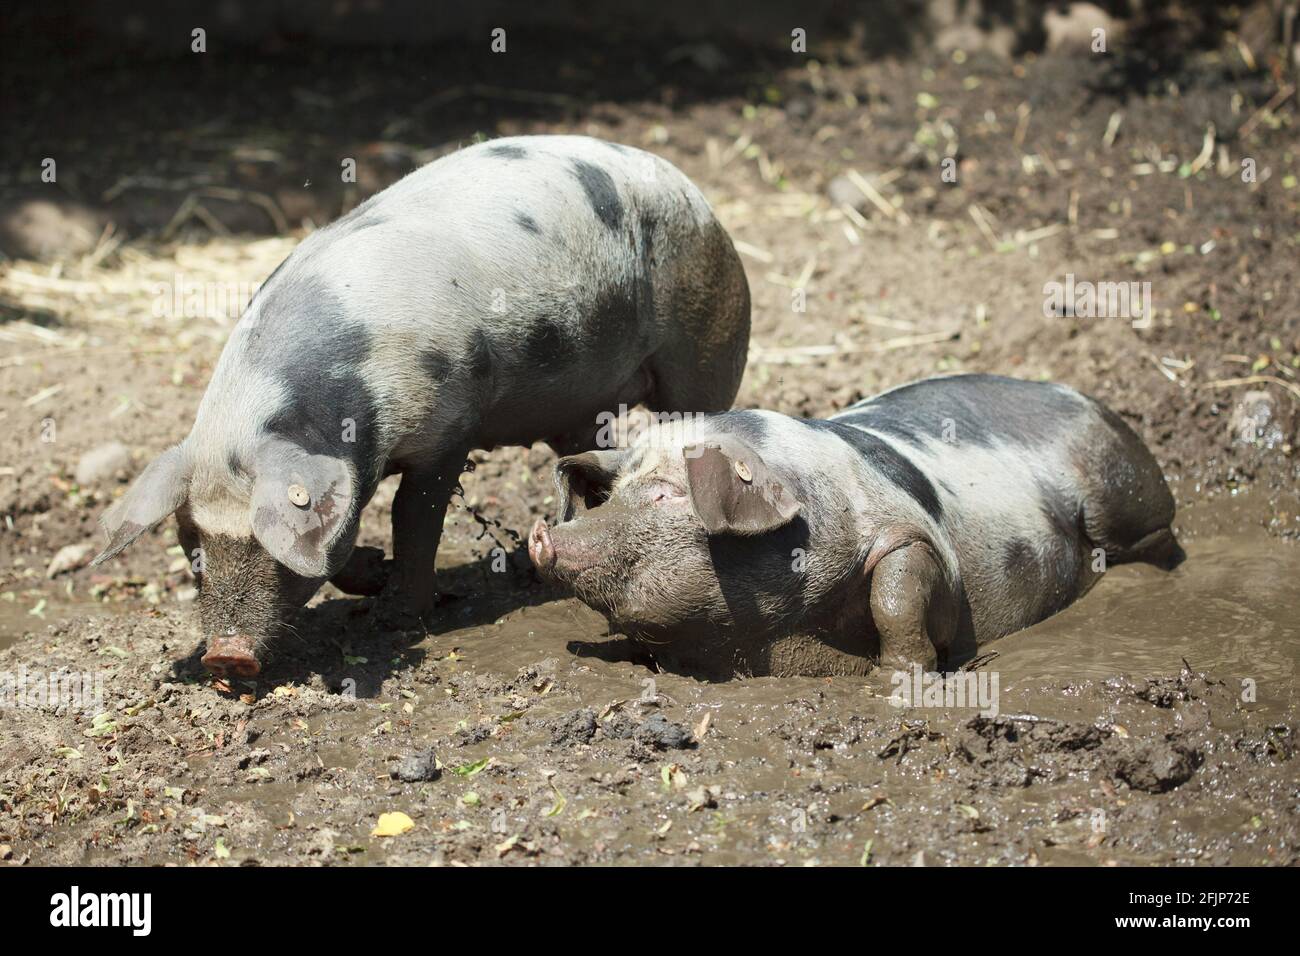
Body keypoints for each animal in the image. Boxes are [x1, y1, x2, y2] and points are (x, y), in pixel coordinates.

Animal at [91, 134, 754, 681]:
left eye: (270, 542)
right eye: (193, 548)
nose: (227, 657)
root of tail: (694, 191)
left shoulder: (448, 426)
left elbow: (414, 515)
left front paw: (394, 617)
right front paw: (373, 570)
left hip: (707, 337)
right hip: (583, 397)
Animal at [530, 374, 1190, 681]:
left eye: (668, 492)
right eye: (613, 494)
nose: (540, 534)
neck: (775, 637)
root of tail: (1086, 398)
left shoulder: (915, 535)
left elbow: (895, 592)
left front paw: (899, 676)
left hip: (1125, 497)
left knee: (1153, 540)